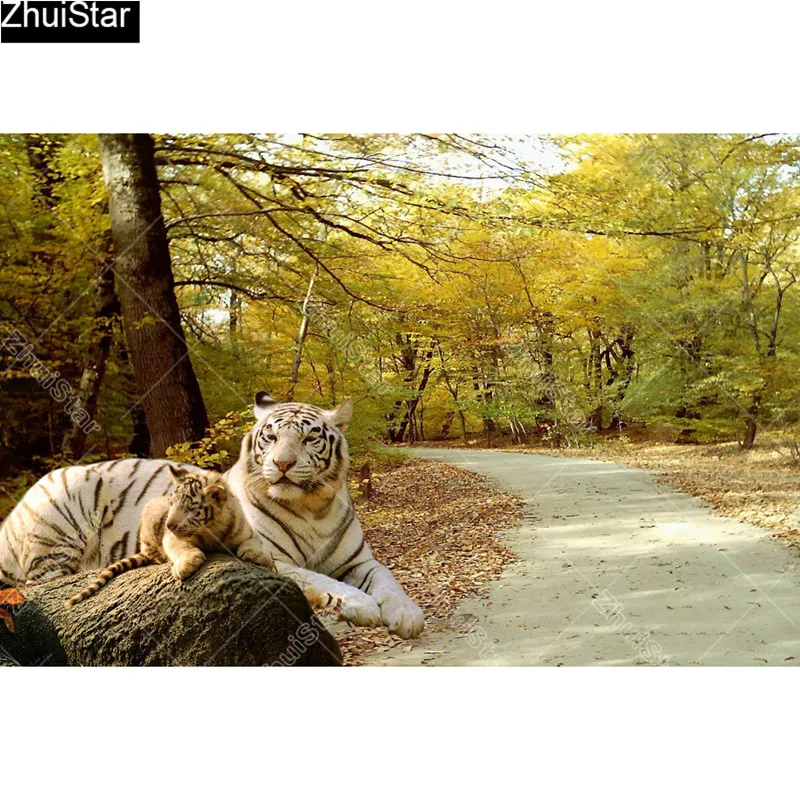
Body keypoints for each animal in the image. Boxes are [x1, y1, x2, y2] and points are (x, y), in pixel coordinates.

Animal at [65, 466, 276, 607]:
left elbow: (253, 543)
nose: (169, 524)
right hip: (152, 509)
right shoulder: (171, 537)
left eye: (190, 508)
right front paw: (187, 564)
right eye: (173, 503)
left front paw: (259, 556)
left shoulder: (246, 531)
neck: (212, 529)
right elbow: (180, 547)